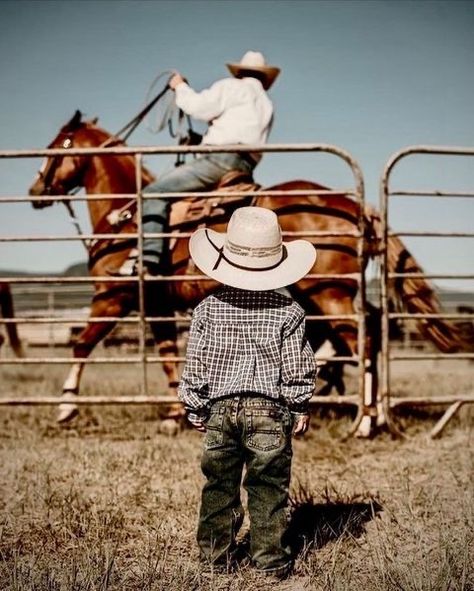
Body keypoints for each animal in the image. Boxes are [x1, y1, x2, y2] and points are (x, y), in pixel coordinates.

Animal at [26, 112, 466, 434]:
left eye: (57, 147)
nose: (34, 191)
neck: (126, 213)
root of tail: (355, 206)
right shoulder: (158, 305)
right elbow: (169, 357)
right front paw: (173, 415)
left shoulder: (112, 297)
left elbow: (81, 345)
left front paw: (65, 409)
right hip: (327, 295)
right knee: (368, 329)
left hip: (329, 294)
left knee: (363, 337)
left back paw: (366, 422)